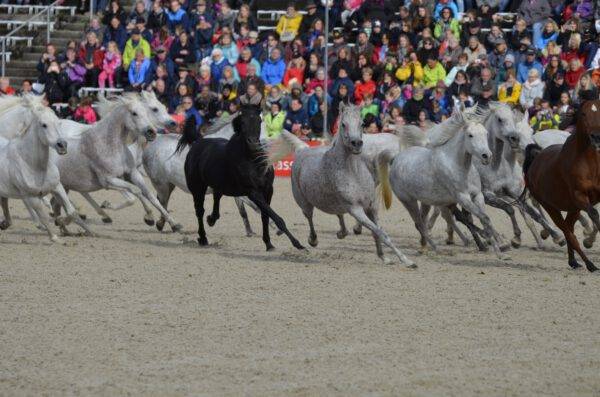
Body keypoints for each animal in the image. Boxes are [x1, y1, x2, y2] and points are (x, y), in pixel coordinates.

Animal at [0, 95, 91, 241]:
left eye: (59, 123)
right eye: (44, 124)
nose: (62, 145)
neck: (36, 166)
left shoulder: (57, 187)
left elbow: (71, 211)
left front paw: (61, 221)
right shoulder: (30, 196)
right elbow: (42, 215)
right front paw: (53, 235)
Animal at [176, 107, 302, 251]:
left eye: (259, 121)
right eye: (242, 122)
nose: (254, 143)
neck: (253, 161)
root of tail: (197, 142)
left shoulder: (268, 190)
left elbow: (265, 215)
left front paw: (269, 244)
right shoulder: (253, 192)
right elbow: (275, 217)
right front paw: (298, 244)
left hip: (219, 186)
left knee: (216, 199)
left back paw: (211, 219)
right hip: (198, 189)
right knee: (199, 211)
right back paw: (203, 238)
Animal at [270, 103, 414, 268]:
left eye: (362, 123)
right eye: (343, 124)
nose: (356, 144)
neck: (353, 173)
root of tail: (303, 149)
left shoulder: (371, 206)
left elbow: (377, 231)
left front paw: (384, 257)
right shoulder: (356, 209)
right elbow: (380, 233)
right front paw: (407, 261)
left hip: (335, 203)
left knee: (339, 215)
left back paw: (341, 233)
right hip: (304, 202)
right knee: (310, 217)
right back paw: (313, 240)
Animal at [524, 100, 600, 272]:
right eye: (583, 113)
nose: (596, 137)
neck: (588, 163)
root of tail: (535, 158)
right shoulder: (580, 196)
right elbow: (594, 215)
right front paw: (588, 242)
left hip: (573, 207)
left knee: (569, 227)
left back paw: (573, 261)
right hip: (551, 207)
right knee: (567, 231)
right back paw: (589, 264)